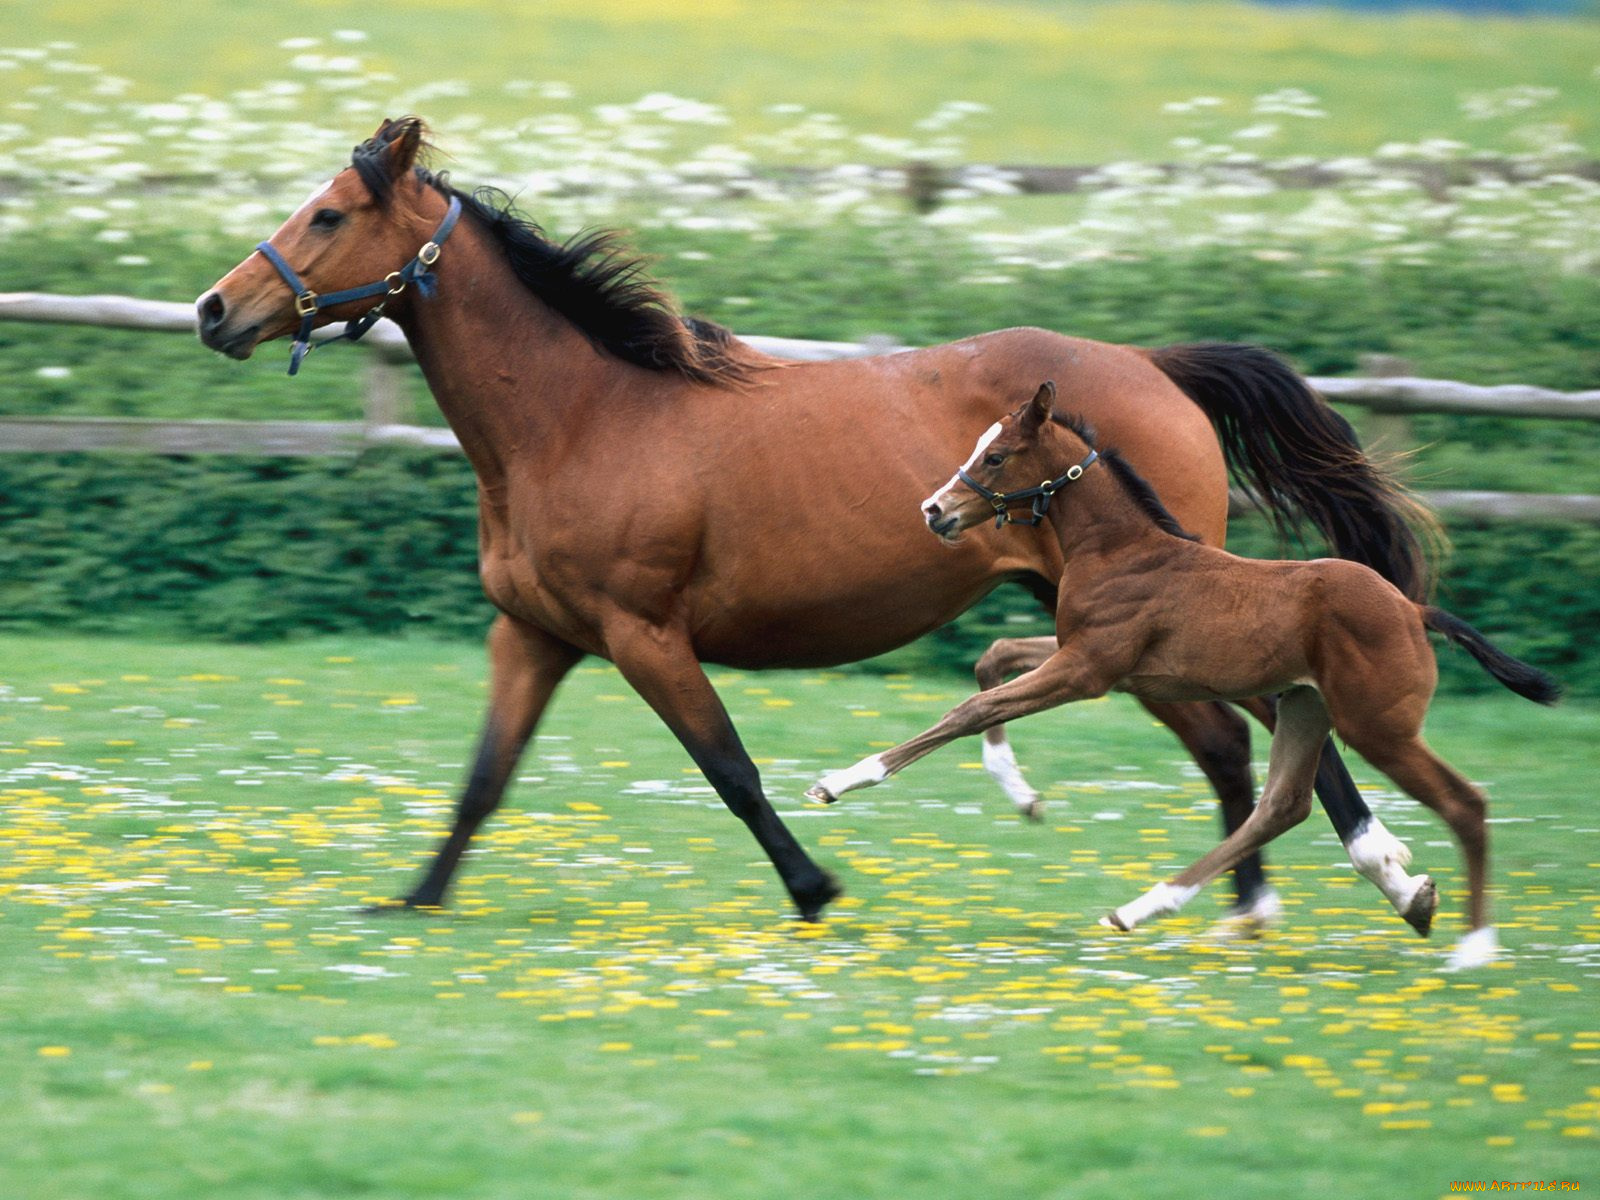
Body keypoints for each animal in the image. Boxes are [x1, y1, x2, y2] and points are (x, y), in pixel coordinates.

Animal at [195, 116, 1439, 927]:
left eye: (329, 214)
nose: (214, 310)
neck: (582, 417)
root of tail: (1154, 365)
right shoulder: (534, 634)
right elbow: (484, 779)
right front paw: (412, 900)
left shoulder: (644, 633)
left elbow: (730, 768)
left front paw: (815, 887)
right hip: (1108, 619)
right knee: (1237, 741)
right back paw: (1261, 904)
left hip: (1151, 612)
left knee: (1263, 736)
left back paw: (1364, 881)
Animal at [808, 382, 1559, 968]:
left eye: (994, 455)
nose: (934, 511)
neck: (1120, 547)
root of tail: (1412, 607)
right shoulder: (1091, 659)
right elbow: (992, 661)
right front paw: (1018, 789)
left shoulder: (1087, 670)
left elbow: (970, 709)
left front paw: (839, 781)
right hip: (1305, 707)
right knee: (1281, 806)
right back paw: (1144, 908)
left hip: (1378, 727)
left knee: (1465, 803)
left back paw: (1474, 948)